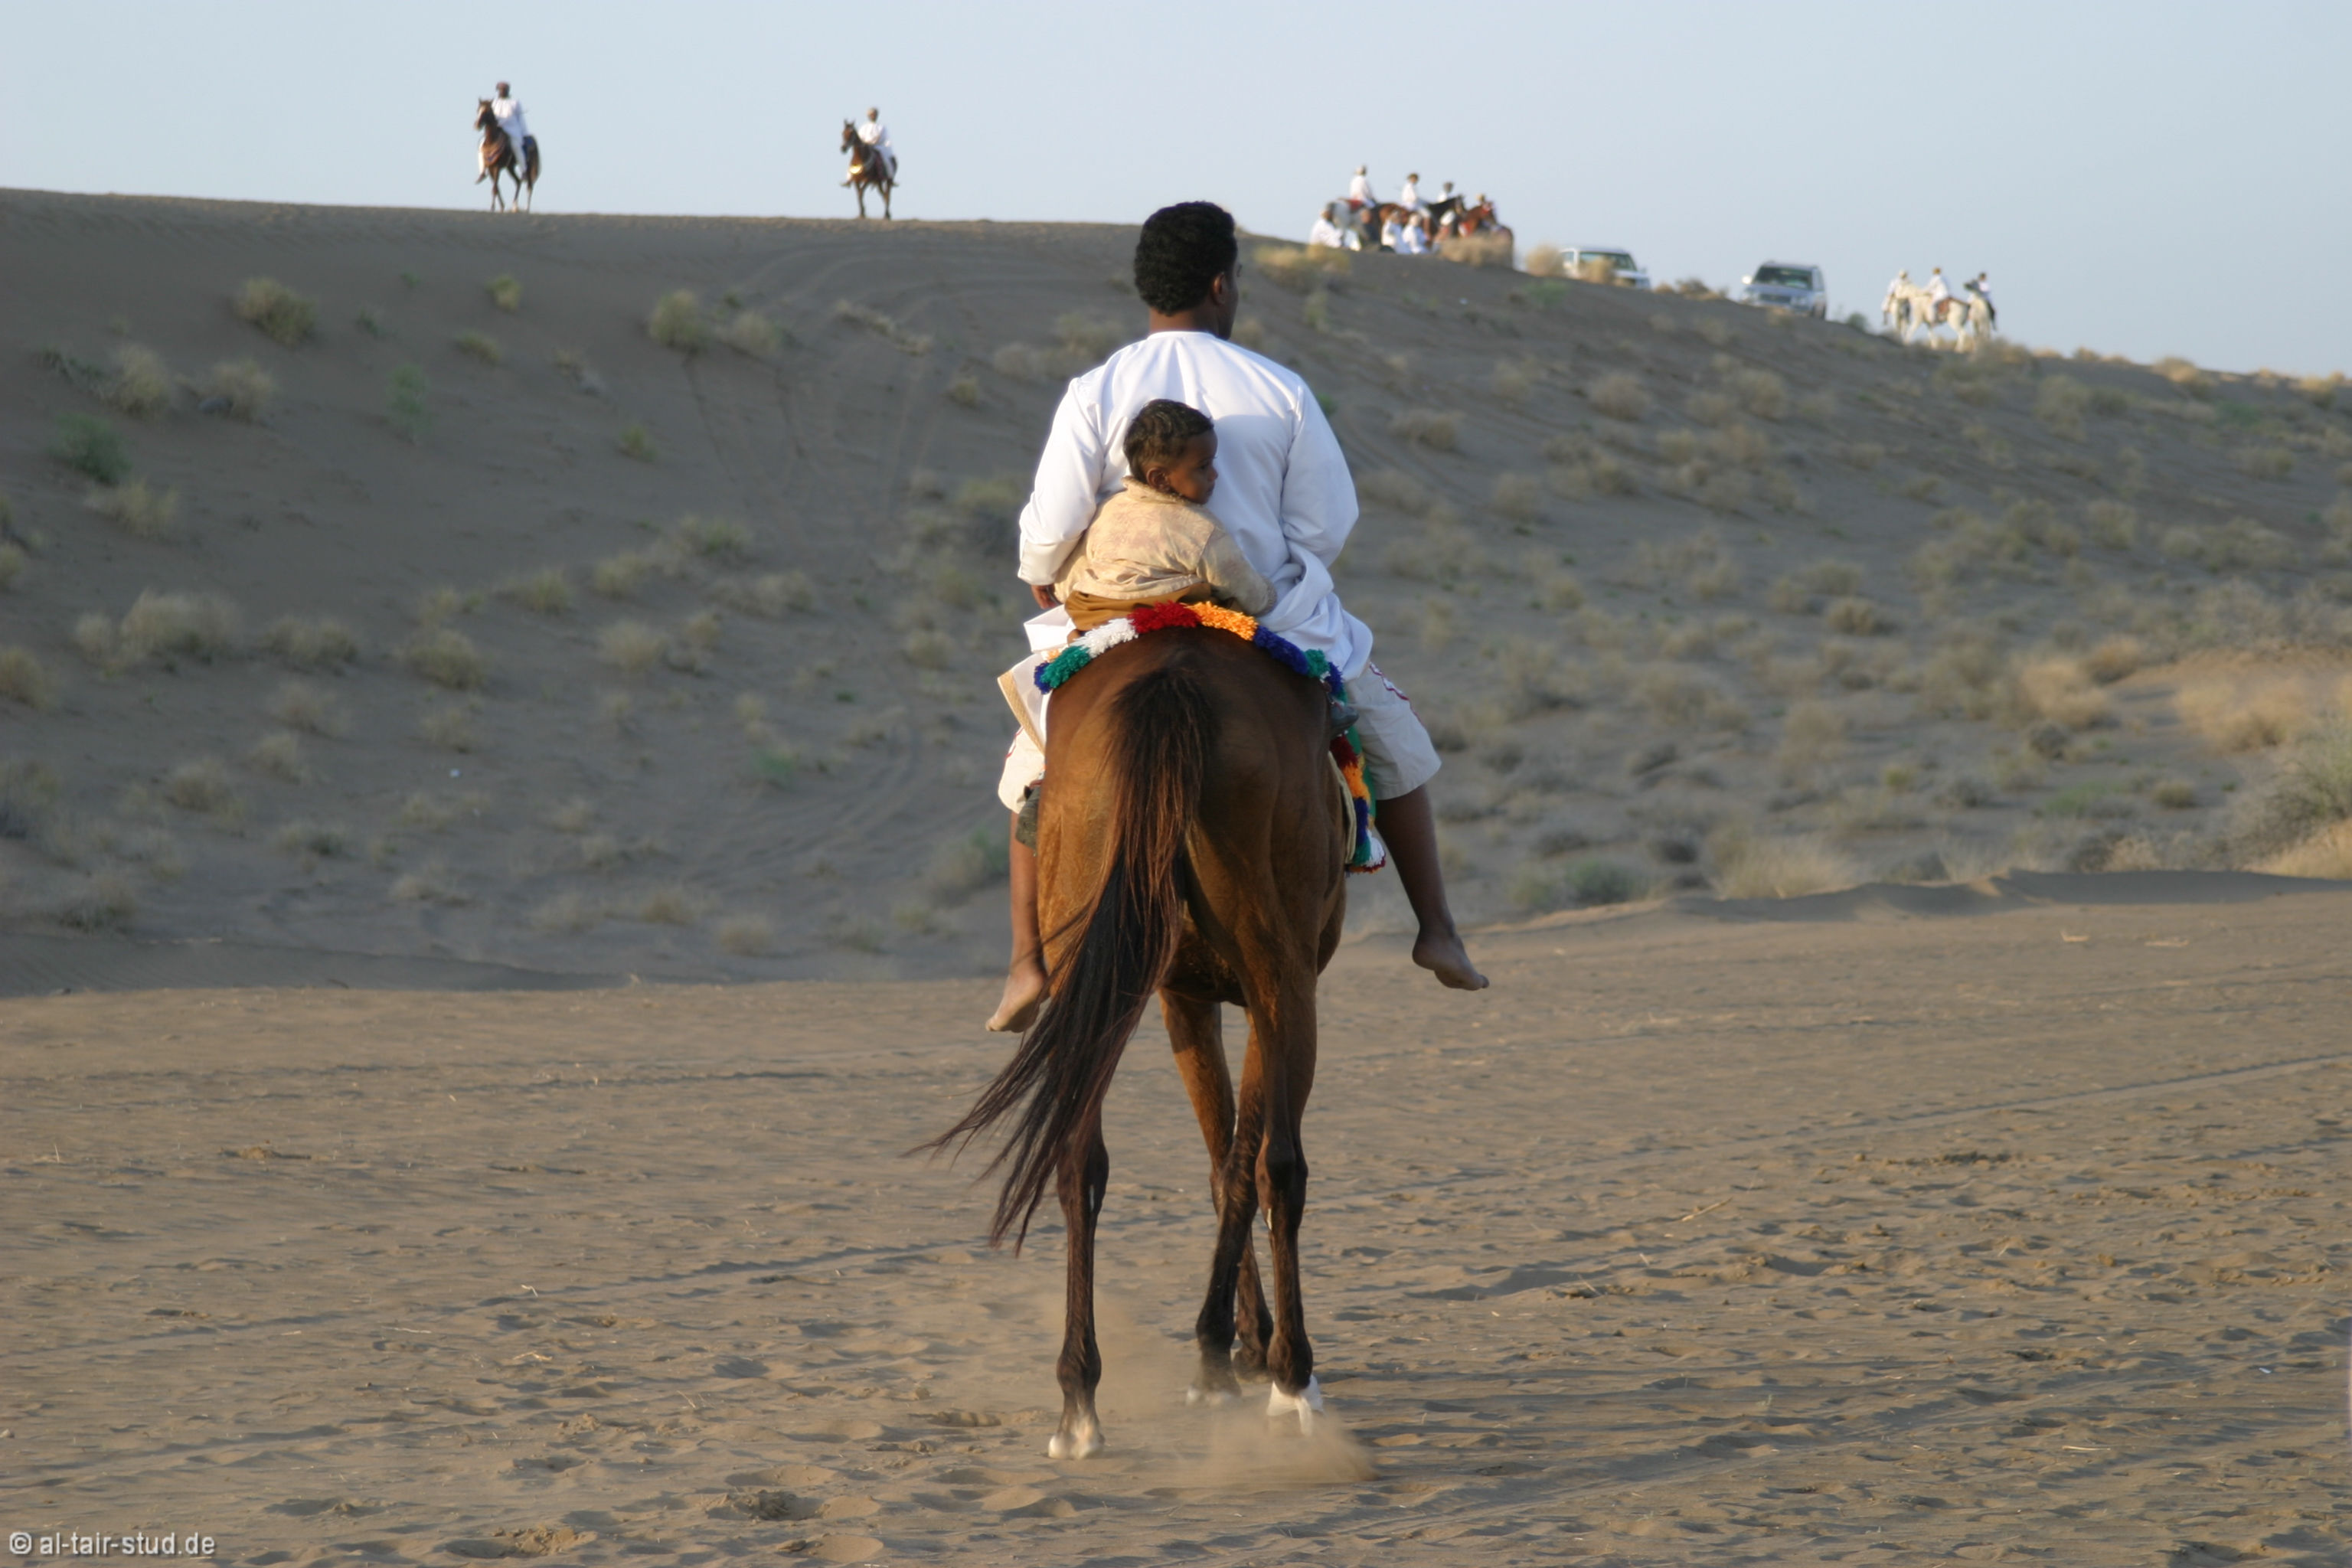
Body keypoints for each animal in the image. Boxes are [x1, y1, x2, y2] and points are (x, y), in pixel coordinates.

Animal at [474, 100, 538, 213]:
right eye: (478, 110)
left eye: (486, 111)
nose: (477, 125)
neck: (492, 141)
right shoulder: (490, 168)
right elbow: (496, 188)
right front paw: (501, 206)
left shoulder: (497, 167)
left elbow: (495, 188)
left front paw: (493, 207)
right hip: (510, 167)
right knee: (518, 181)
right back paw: (515, 206)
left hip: (528, 167)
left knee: (529, 185)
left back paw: (526, 208)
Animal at [841, 120, 894, 219]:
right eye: (843, 133)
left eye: (852, 133)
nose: (843, 148)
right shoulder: (856, 181)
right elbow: (859, 195)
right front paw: (861, 213)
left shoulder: (867, 180)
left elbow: (861, 193)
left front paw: (863, 212)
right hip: (878, 182)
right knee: (883, 194)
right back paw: (886, 214)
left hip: (889, 180)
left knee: (887, 195)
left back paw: (887, 214)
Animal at [928, 626, 1350, 1460]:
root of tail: (1174, 684)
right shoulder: (1254, 990)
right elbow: (1244, 1160)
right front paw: (1237, 1352)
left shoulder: (1182, 994)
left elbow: (1222, 1162)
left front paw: (1227, 1349)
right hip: (1279, 971)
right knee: (1282, 1163)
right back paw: (1293, 1378)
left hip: (1102, 954)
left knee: (1077, 1157)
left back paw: (1078, 1399)